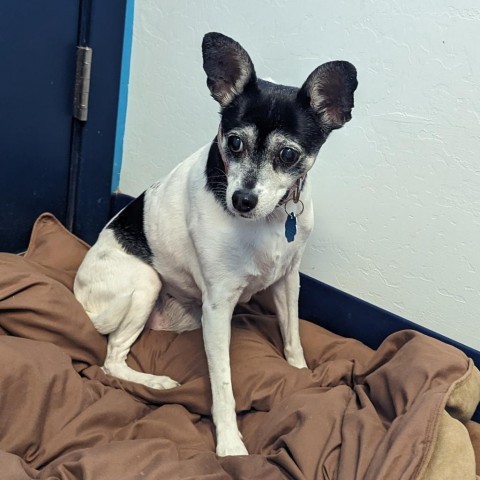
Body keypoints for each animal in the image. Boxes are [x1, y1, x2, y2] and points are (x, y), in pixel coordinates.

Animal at [74, 31, 356, 456]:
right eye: (234, 143)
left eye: (288, 153)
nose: (242, 199)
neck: (270, 220)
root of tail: (77, 293)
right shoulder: (219, 306)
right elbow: (223, 384)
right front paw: (229, 444)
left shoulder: (287, 280)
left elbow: (293, 338)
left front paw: (300, 374)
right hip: (147, 283)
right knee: (112, 360)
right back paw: (156, 382)